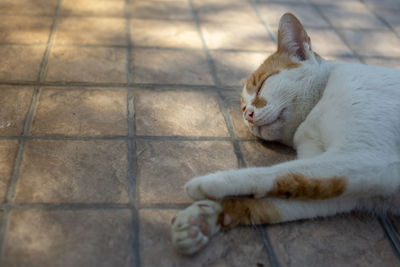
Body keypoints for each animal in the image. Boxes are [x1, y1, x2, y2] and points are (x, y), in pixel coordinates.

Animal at [170, 12, 400, 255]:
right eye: (242, 108)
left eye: (261, 85)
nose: (248, 115)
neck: (313, 113)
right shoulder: (351, 189)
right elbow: (281, 195)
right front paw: (203, 218)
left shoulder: (368, 158)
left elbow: (277, 172)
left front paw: (212, 182)